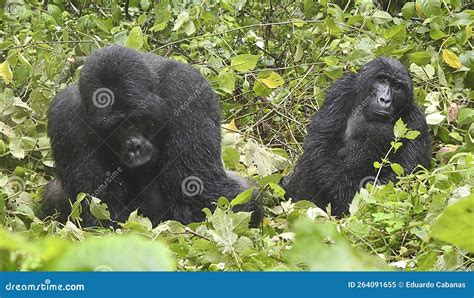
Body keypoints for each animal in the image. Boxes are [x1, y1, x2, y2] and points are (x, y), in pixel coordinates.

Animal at [41, 45, 262, 226]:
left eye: (137, 120)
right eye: (116, 127)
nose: (134, 146)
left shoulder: (186, 89)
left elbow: (200, 190)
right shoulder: (65, 116)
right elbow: (99, 207)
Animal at [284, 57, 432, 218]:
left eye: (397, 86)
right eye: (382, 80)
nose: (385, 99)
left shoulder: (416, 122)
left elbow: (407, 174)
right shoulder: (339, 91)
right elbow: (320, 149)